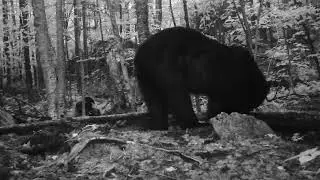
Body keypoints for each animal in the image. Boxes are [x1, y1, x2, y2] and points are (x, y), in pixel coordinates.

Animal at [134, 26, 268, 130]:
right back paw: (193, 123)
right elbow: (218, 101)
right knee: (178, 95)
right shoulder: (223, 78)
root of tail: (140, 53)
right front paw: (215, 116)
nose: (246, 113)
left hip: (146, 77)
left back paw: (159, 125)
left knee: (154, 99)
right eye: (248, 104)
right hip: (166, 67)